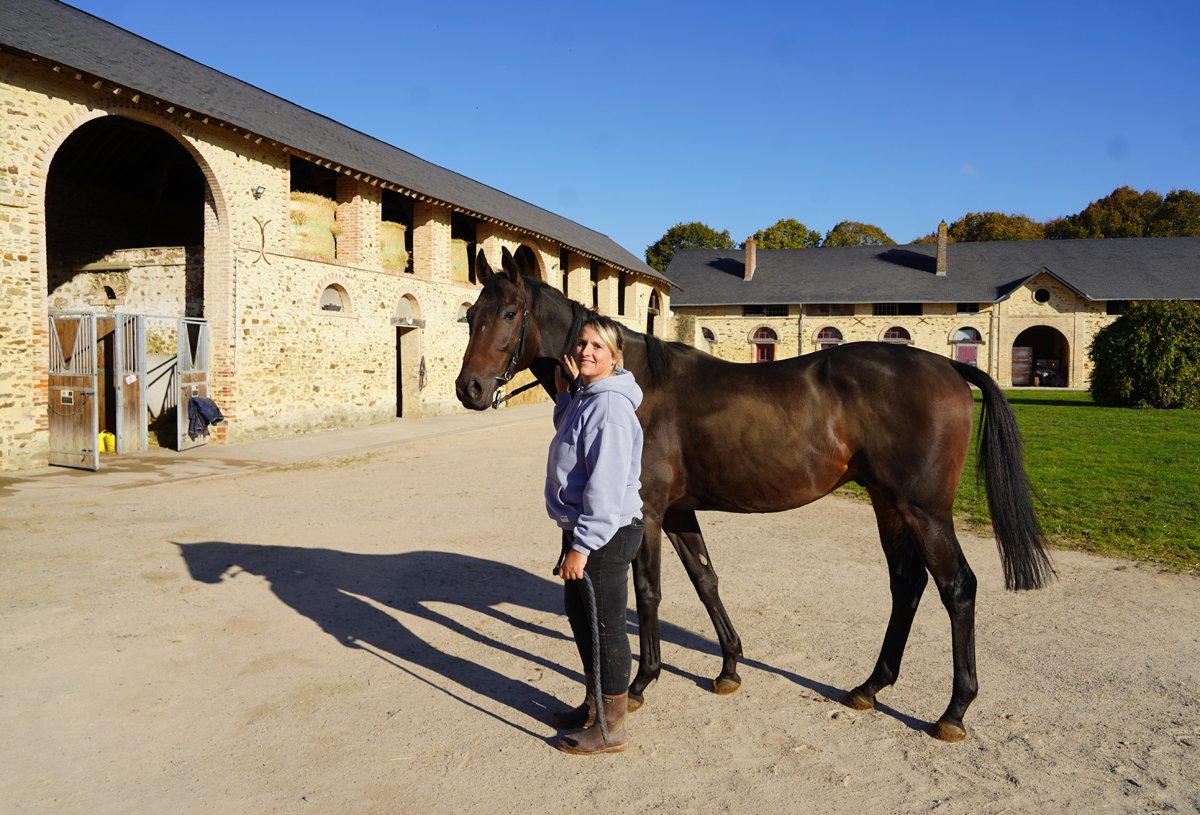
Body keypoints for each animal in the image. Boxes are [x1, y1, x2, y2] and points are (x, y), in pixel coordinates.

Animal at [454, 247, 1053, 742]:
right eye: (470, 316)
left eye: (509, 314)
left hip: (924, 511)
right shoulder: (680, 513)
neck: (639, 384)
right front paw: (729, 668)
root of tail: (946, 363)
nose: (470, 389)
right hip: (889, 507)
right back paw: (870, 686)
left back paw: (953, 711)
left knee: (957, 587)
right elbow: (706, 582)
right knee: (907, 586)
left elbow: (648, 593)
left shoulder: (648, 515)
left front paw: (644, 683)